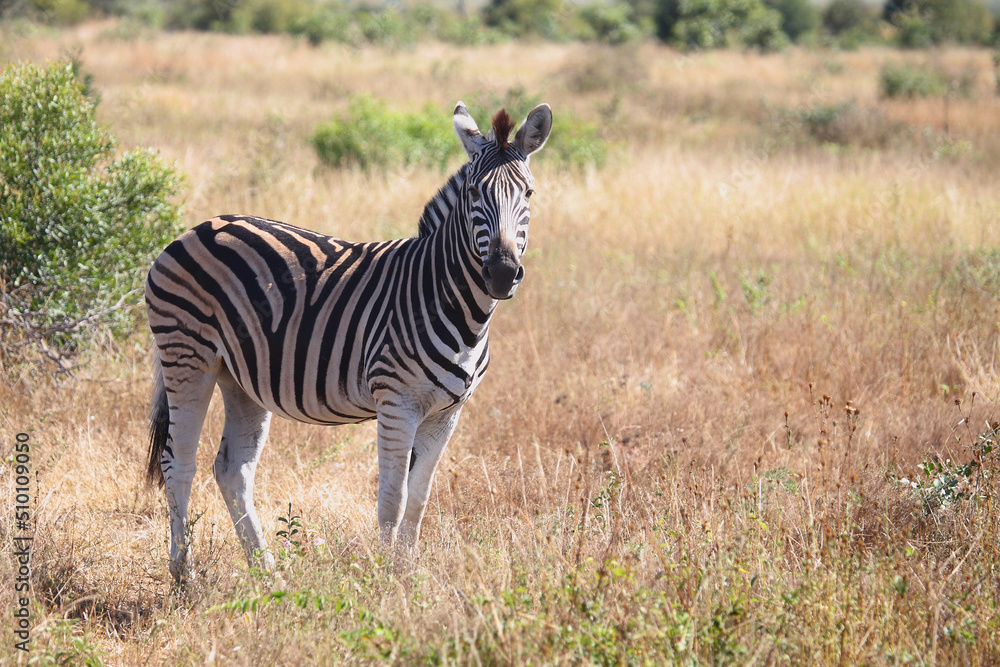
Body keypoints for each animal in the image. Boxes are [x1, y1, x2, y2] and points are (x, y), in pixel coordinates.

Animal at [144, 102, 552, 580]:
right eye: (473, 193)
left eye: (529, 194)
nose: (502, 274)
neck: (451, 301)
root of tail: (196, 228)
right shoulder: (396, 403)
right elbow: (392, 499)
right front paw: (387, 577)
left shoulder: (447, 414)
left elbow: (419, 498)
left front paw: (408, 574)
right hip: (187, 356)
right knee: (178, 463)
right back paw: (183, 574)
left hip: (240, 377)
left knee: (232, 469)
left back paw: (267, 573)